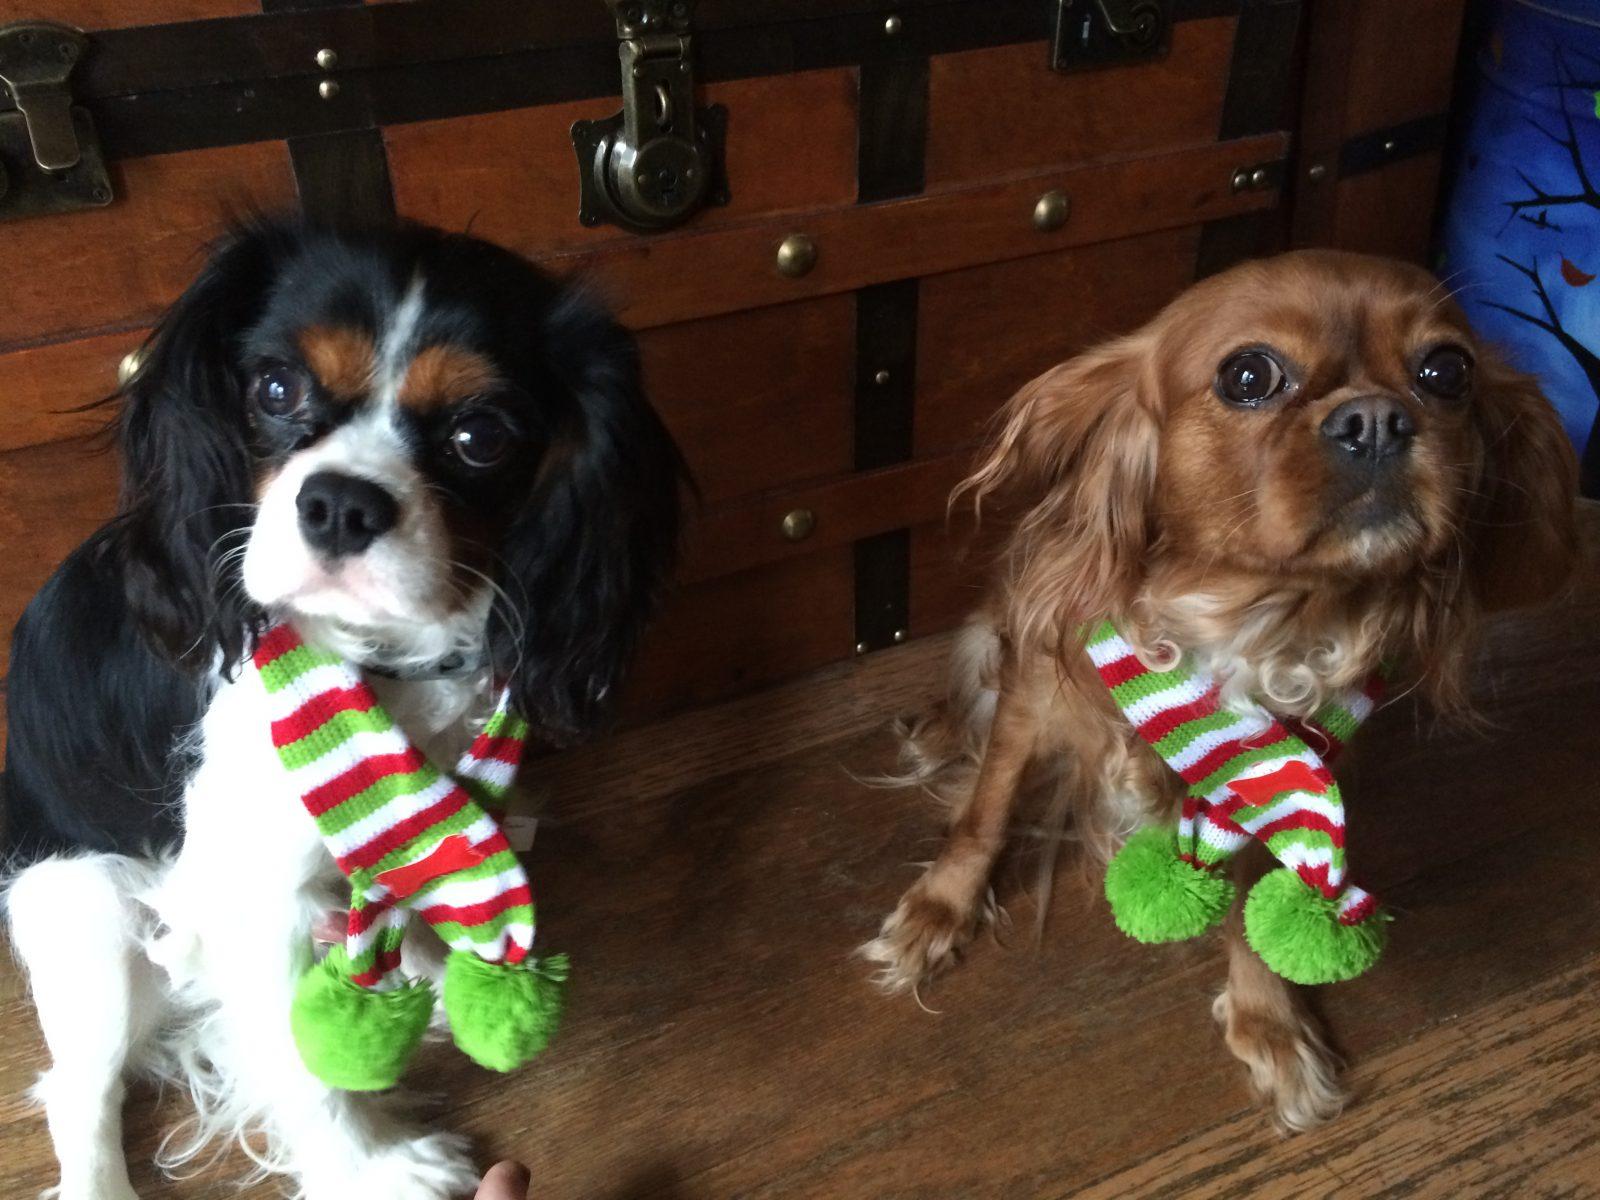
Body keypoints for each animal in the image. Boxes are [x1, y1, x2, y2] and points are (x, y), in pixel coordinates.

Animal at [2, 219, 684, 1199]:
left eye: (481, 435)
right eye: (275, 388)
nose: (340, 503)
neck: (376, 659)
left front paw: (434, 969)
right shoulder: (251, 894)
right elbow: (303, 1065)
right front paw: (374, 1166)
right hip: (85, 915)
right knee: (80, 1090)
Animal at [861, 249, 1580, 1130]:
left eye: (1448, 371)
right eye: (1248, 375)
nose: (1376, 418)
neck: (1253, 615)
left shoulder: (1281, 765)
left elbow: (1261, 878)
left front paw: (1269, 1017)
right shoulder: (1033, 695)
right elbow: (985, 812)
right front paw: (936, 913)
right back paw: (936, 735)